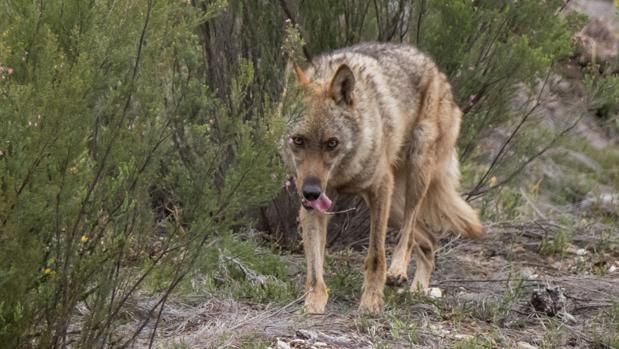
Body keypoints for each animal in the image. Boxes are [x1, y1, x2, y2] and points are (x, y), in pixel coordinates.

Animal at [280, 42, 484, 314]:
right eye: (298, 140)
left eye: (332, 143)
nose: (311, 192)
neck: (343, 172)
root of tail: (437, 71)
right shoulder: (313, 206)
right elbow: (314, 266)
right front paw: (313, 302)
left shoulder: (379, 188)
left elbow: (376, 255)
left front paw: (372, 301)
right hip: (394, 206)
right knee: (429, 240)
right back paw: (418, 290)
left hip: (414, 177)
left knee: (408, 233)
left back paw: (398, 271)